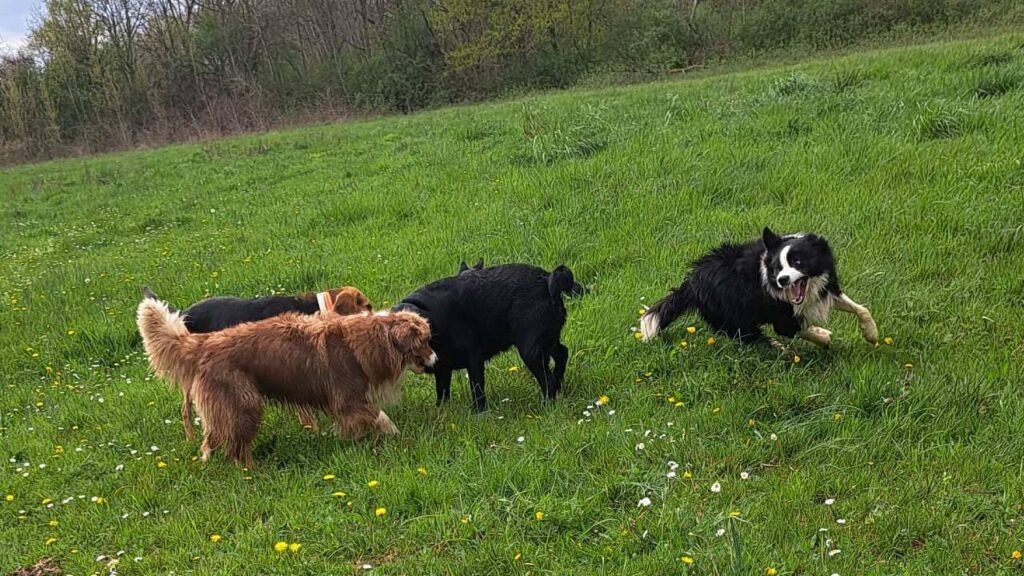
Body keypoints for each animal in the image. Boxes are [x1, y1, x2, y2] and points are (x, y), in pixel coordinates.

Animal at [395, 262, 581, 409]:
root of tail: (547, 279)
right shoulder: (443, 368)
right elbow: (442, 392)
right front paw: (441, 412)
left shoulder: (473, 360)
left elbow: (477, 389)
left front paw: (479, 414)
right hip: (547, 342)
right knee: (562, 354)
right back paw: (559, 383)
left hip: (531, 352)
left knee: (548, 381)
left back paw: (546, 405)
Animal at [634, 227, 876, 348]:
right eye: (778, 268)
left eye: (798, 262)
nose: (782, 280)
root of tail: (691, 282)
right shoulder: (781, 316)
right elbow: (795, 329)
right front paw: (824, 338)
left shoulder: (825, 290)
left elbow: (861, 309)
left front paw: (871, 334)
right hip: (732, 317)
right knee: (751, 335)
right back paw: (776, 346)